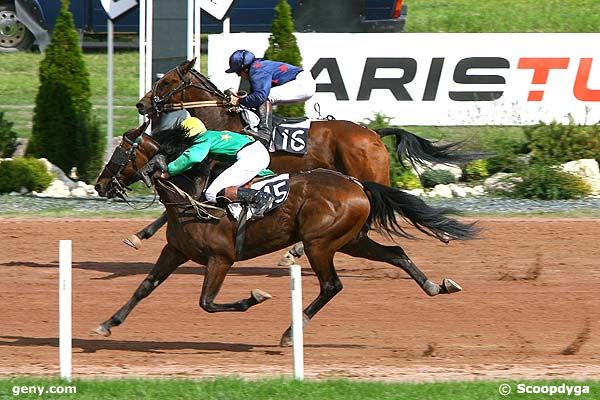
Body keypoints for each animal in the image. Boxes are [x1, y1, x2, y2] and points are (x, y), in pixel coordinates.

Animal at [94, 124, 478, 344]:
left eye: (121, 151)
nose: (100, 185)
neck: (190, 198)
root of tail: (357, 184)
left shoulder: (221, 258)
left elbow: (207, 303)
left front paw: (254, 297)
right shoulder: (174, 251)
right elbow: (144, 287)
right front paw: (108, 323)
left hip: (320, 243)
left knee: (332, 285)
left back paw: (292, 331)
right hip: (351, 241)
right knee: (396, 253)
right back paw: (435, 286)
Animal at [129, 58, 480, 260]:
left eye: (166, 82)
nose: (141, 104)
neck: (225, 121)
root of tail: (373, 132)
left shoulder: (223, 173)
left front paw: (140, 234)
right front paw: (140, 234)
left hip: (367, 175)